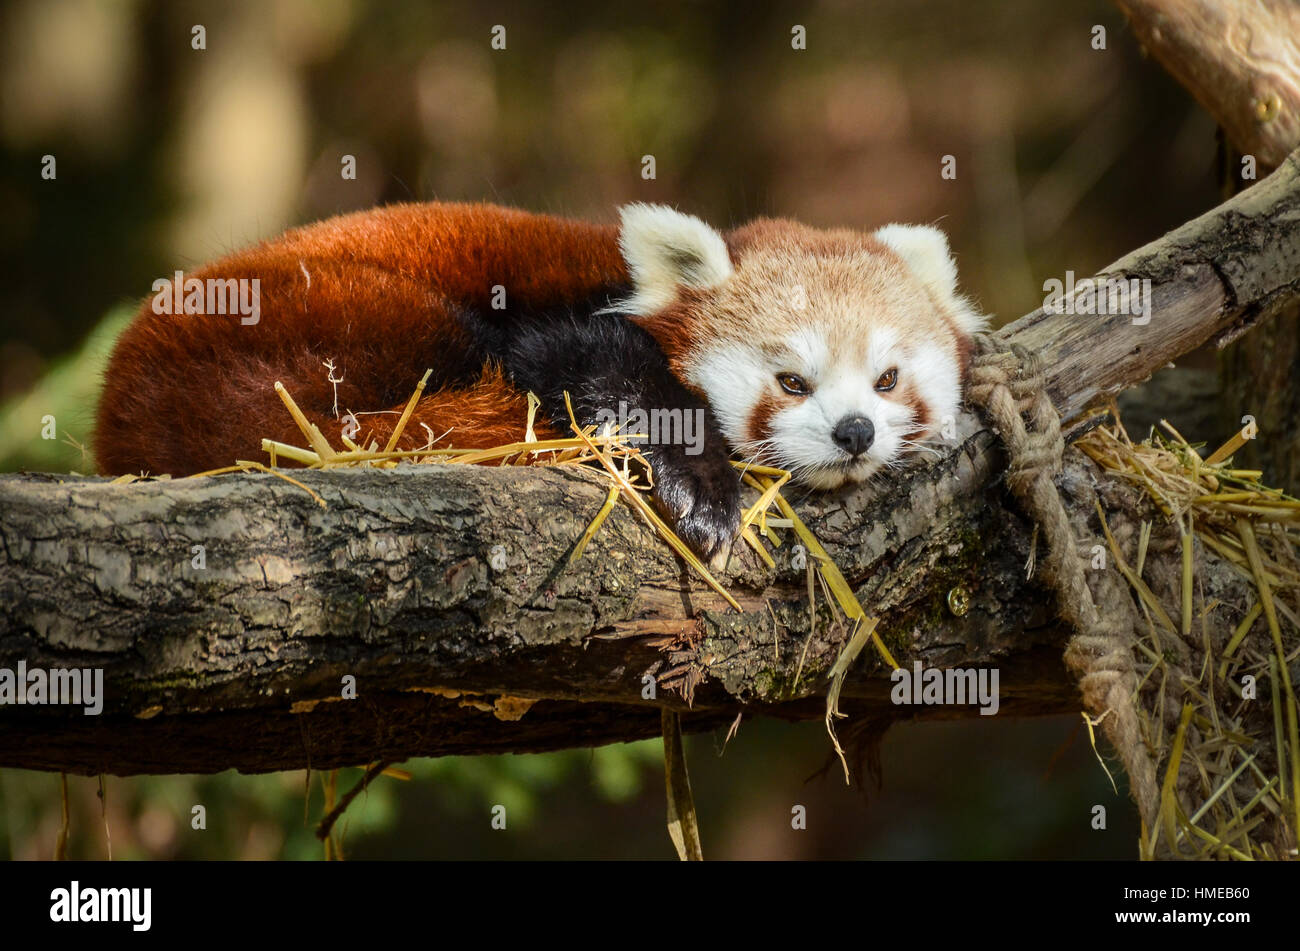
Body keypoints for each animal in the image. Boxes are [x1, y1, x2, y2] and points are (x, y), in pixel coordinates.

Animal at [98, 198, 982, 556]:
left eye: (888, 378)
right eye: (792, 381)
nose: (854, 432)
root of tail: (125, 405)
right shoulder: (559, 317)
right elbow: (581, 366)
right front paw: (701, 486)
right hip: (331, 307)